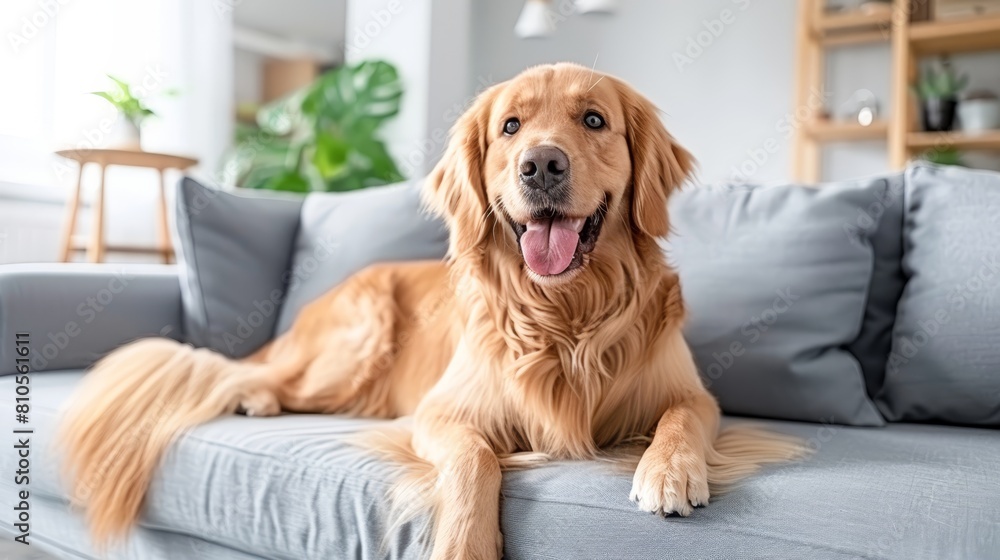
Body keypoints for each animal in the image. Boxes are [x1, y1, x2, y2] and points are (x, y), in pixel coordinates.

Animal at [58, 63, 804, 556]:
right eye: (510, 127)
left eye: (594, 120)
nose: (540, 165)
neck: (565, 317)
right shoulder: (441, 413)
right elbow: (474, 460)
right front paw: (465, 544)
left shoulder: (694, 396)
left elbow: (680, 419)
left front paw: (668, 471)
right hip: (353, 346)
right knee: (253, 374)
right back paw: (257, 398)